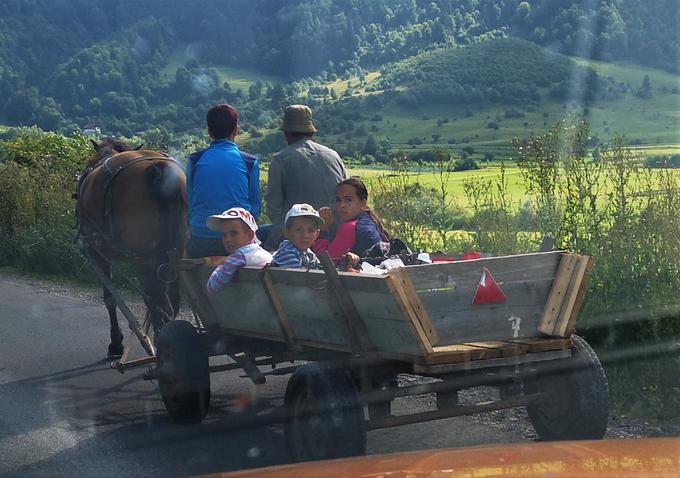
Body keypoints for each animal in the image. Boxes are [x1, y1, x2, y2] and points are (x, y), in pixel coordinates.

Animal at [75, 138, 187, 358]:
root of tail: (158, 168)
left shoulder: (98, 254)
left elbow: (110, 298)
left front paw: (116, 344)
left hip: (145, 259)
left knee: (159, 302)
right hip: (176, 255)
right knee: (169, 301)